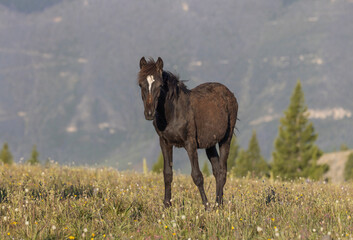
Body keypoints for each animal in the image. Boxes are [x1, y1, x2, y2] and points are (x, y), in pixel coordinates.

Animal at [137, 56, 236, 208]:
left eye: (159, 85)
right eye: (140, 85)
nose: (149, 114)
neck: (173, 113)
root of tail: (229, 93)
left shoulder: (190, 144)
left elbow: (197, 175)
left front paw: (206, 206)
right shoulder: (164, 143)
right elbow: (167, 174)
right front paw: (167, 205)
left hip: (226, 139)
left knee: (223, 170)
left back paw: (217, 204)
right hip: (210, 144)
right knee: (217, 171)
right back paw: (218, 204)